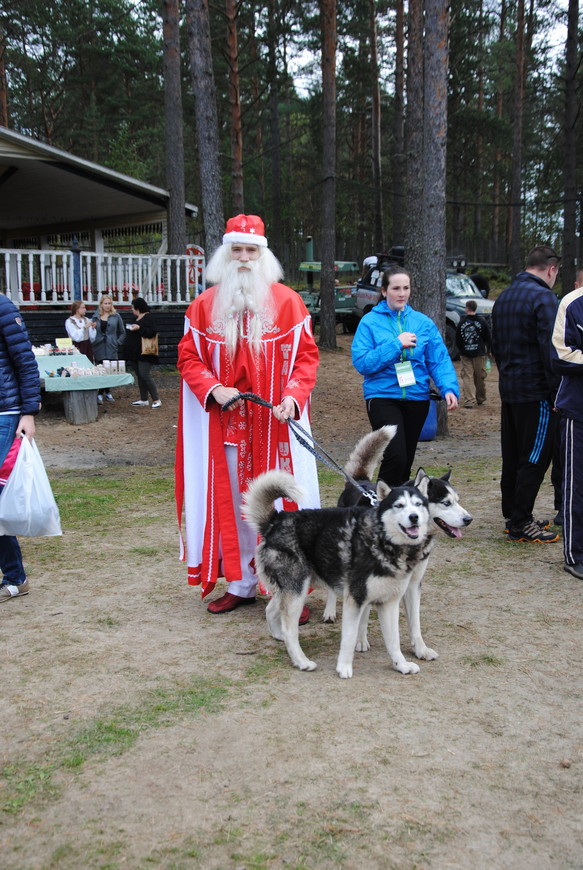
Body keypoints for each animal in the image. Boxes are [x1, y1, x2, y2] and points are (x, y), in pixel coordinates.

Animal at [241, 470, 428, 680]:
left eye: (418, 504)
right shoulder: (355, 600)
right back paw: (301, 661)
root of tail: (275, 522)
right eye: (399, 505)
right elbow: (349, 638)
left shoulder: (389, 603)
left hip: (295, 590)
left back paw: (280, 638)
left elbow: (394, 641)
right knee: (290, 630)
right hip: (297, 593)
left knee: (271, 611)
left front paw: (401, 665)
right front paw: (344, 668)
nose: (414, 517)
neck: (383, 541)